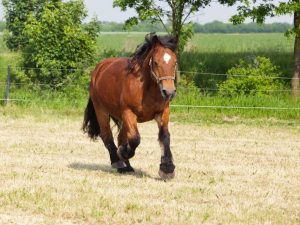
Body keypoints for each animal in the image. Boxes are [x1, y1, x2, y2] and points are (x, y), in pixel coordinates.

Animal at [81, 33, 178, 179]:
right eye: (156, 62)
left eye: (175, 62)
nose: (169, 92)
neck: (146, 89)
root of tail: (99, 69)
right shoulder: (129, 112)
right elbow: (135, 139)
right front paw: (123, 152)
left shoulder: (162, 112)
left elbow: (165, 137)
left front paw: (167, 169)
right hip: (101, 111)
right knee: (107, 135)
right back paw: (118, 161)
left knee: (120, 137)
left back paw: (126, 166)